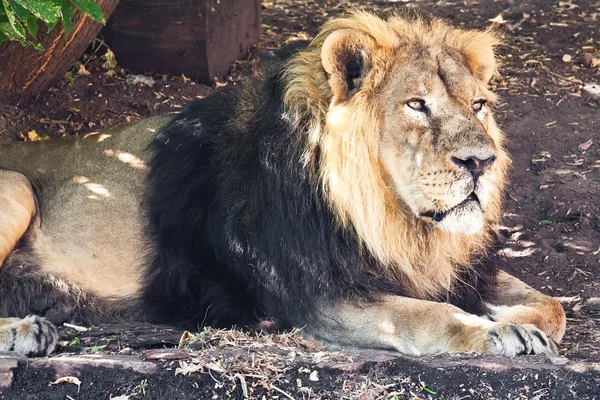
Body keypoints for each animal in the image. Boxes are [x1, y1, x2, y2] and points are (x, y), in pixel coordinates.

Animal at [0, 8, 568, 356]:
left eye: (479, 105)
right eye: (416, 104)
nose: (482, 162)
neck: (392, 221)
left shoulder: (445, 268)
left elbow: (553, 306)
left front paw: (516, 318)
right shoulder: (316, 296)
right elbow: (428, 317)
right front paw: (499, 332)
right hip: (17, 186)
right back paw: (26, 331)